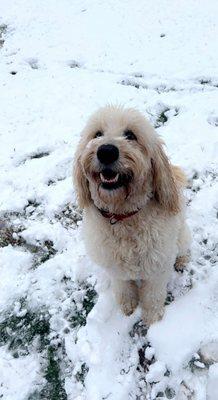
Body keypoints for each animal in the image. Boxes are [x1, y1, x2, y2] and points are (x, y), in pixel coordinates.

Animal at [72, 104, 190, 326]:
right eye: (97, 134)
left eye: (130, 135)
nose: (106, 151)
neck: (123, 217)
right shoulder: (114, 266)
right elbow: (123, 287)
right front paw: (127, 306)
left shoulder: (158, 266)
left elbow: (153, 295)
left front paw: (152, 318)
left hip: (181, 236)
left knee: (185, 247)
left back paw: (182, 260)